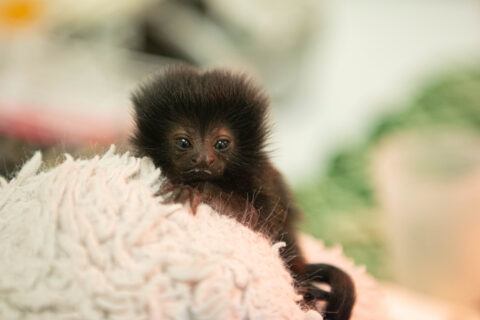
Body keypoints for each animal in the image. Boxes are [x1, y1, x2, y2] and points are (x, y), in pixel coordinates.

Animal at [131, 65, 356, 320]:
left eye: (221, 144)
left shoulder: (260, 176)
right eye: (183, 142)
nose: (203, 159)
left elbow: (259, 223)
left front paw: (194, 190)